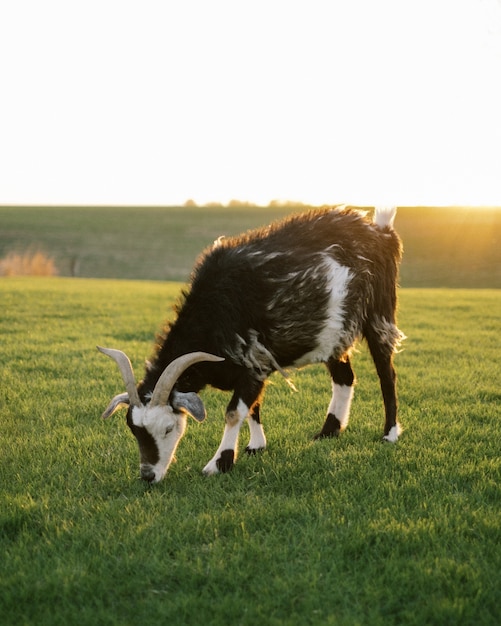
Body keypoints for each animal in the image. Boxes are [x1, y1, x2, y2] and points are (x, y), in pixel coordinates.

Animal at [97, 205, 402, 482]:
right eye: (134, 429)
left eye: (169, 429)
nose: (148, 476)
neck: (215, 311)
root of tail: (380, 230)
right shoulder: (255, 365)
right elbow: (254, 407)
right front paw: (256, 446)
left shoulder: (254, 363)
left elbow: (234, 413)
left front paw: (219, 463)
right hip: (332, 335)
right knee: (344, 378)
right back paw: (329, 431)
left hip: (379, 315)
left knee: (386, 374)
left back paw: (390, 433)